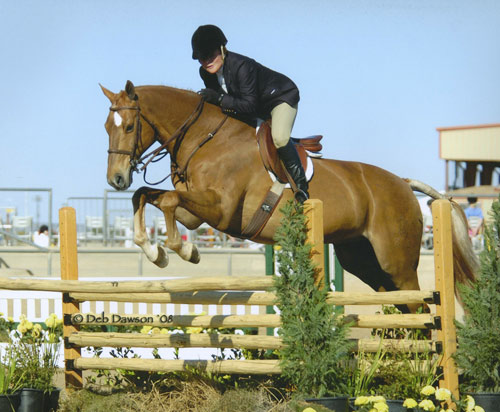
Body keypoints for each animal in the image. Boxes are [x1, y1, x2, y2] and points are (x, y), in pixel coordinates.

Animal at [101, 81, 476, 312]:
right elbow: (146, 196)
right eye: (107, 128)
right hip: (363, 260)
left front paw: (181, 251)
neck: (205, 138)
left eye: (130, 127)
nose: (116, 178)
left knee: (421, 307)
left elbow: (165, 201)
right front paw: (153, 250)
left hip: (396, 263)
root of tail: (403, 183)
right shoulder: (195, 213)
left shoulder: (219, 210)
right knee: (405, 309)